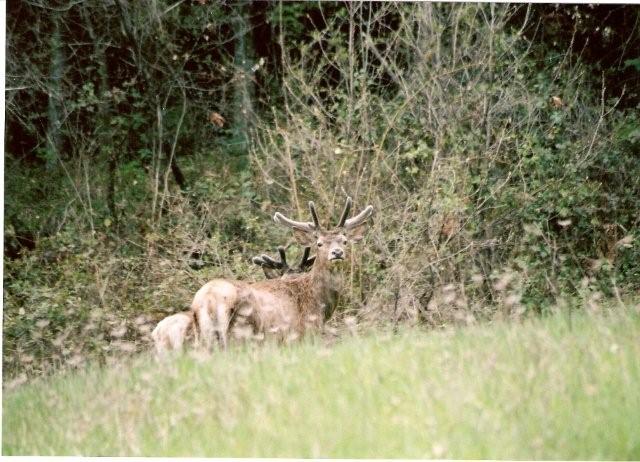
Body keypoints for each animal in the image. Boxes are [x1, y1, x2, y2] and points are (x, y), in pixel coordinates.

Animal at [190, 196, 372, 350]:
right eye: (319, 244)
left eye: (345, 241)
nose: (337, 253)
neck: (318, 303)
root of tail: (209, 299)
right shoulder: (301, 335)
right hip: (242, 331)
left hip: (204, 334)